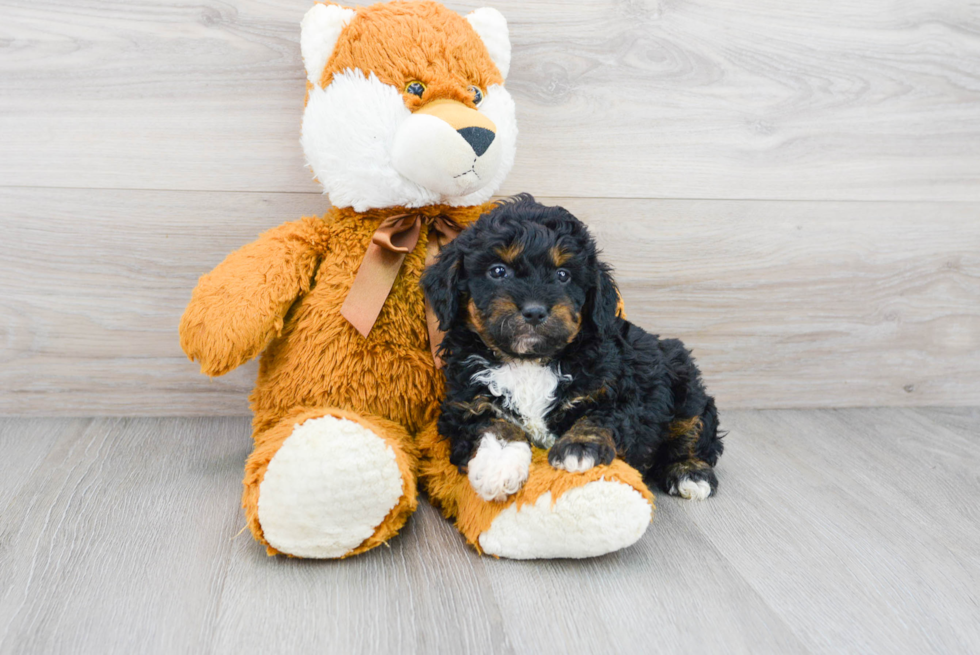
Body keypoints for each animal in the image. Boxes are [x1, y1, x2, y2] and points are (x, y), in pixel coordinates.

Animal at [420, 195, 720, 502]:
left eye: (563, 275)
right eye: (498, 271)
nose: (534, 311)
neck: (529, 361)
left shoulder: (617, 390)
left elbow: (600, 418)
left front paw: (580, 448)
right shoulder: (464, 403)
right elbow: (493, 423)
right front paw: (498, 465)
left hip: (683, 380)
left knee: (694, 430)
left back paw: (690, 473)